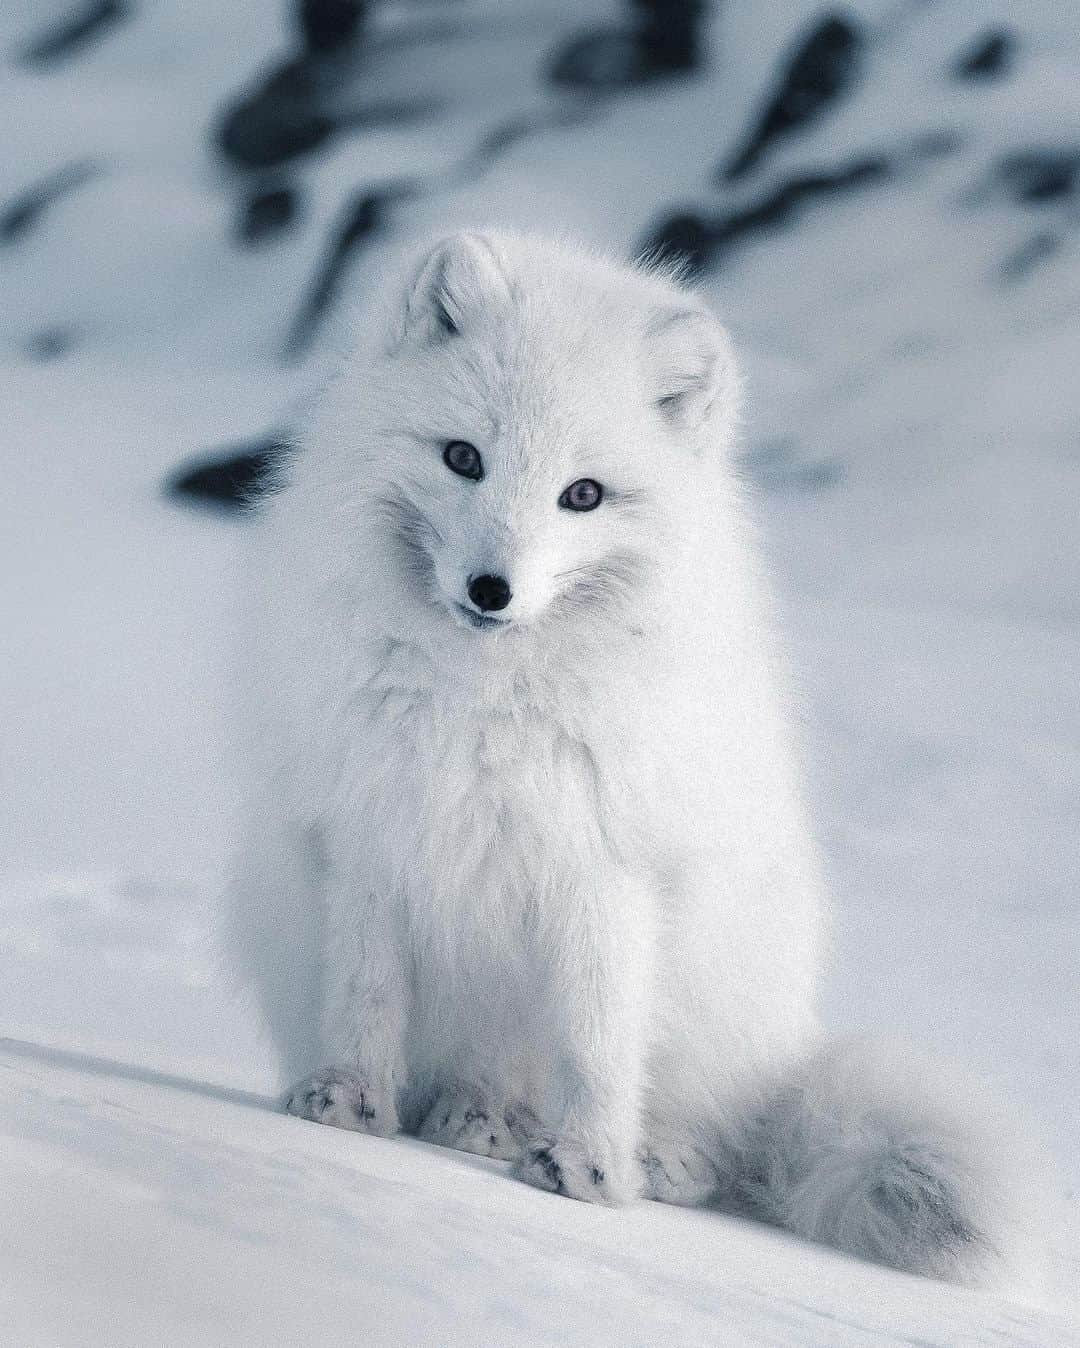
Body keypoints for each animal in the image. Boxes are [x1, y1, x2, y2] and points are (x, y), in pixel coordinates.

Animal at [231, 229, 1040, 1283]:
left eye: (583, 495)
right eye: (463, 457)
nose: (491, 589)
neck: (487, 699)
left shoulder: (604, 869)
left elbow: (598, 1039)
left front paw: (589, 1168)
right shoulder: (371, 830)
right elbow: (366, 993)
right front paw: (346, 1102)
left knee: (704, 1137)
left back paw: (641, 1155)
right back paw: (467, 1119)